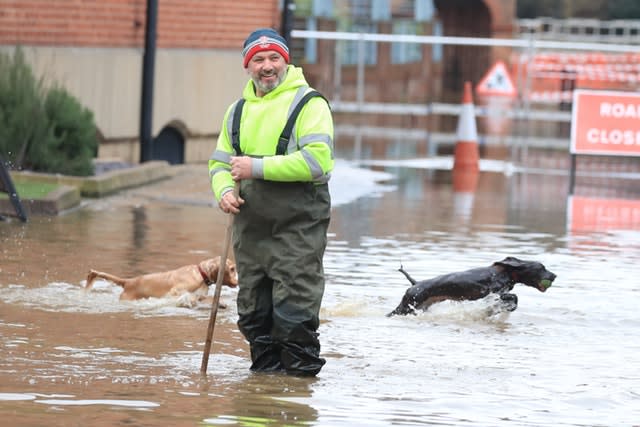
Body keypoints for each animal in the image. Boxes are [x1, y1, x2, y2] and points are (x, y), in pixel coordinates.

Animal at [82, 256, 238, 306]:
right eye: (232, 269)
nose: (238, 281)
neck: (200, 274)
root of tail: (128, 281)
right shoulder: (175, 292)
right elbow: (188, 297)